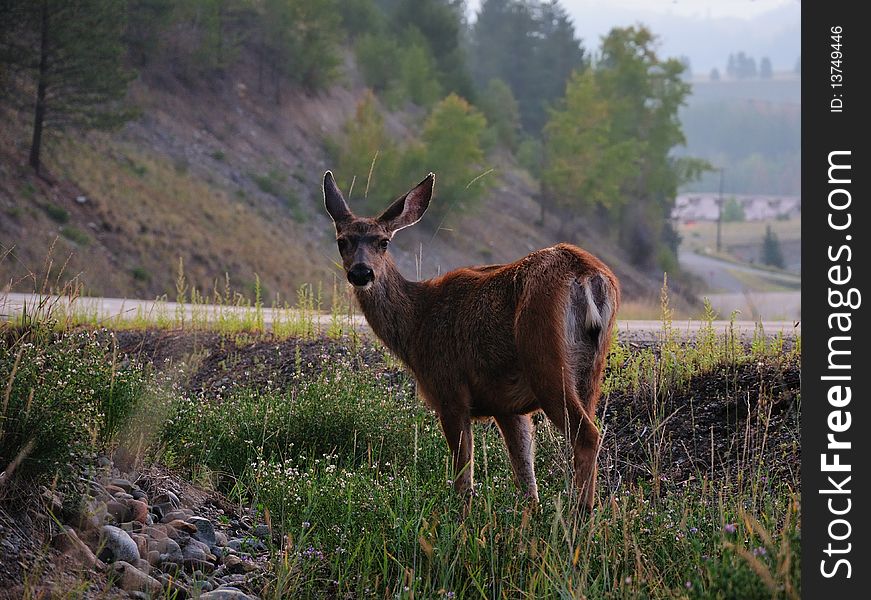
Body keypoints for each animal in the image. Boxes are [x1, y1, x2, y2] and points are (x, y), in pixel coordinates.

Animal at [322, 169, 620, 510]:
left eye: (383, 242)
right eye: (342, 240)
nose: (361, 272)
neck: (416, 324)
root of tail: (587, 275)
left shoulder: (449, 389)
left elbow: (464, 479)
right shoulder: (506, 406)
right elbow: (526, 480)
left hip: (544, 357)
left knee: (587, 435)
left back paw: (580, 514)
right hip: (591, 370)